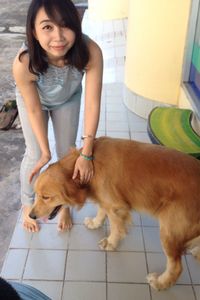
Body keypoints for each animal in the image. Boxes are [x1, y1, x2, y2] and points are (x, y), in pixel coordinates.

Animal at [29, 137, 200, 290]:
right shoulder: (105, 199)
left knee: (176, 267)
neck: (89, 166)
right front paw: (95, 223)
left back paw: (160, 282)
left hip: (169, 231)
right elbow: (101, 210)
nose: (31, 216)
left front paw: (111, 242)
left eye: (46, 197)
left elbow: (116, 227)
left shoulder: (115, 206)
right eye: (36, 194)